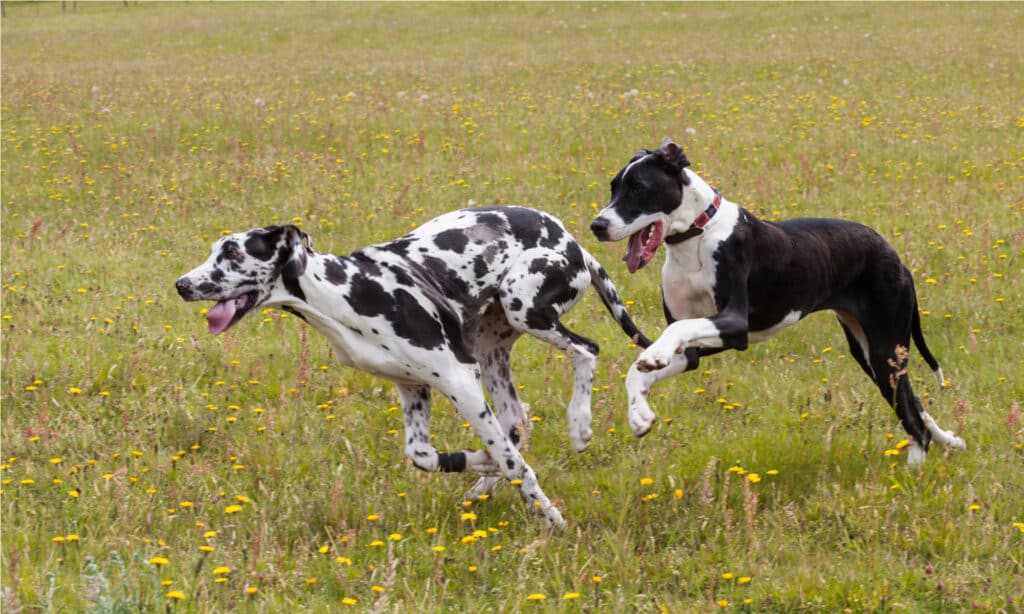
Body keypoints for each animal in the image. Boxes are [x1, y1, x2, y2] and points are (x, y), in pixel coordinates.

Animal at [176, 206, 647, 528]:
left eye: (233, 253)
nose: (181, 284)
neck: (344, 292)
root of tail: (574, 240)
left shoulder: (460, 380)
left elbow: (516, 466)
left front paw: (551, 517)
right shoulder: (413, 387)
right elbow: (425, 456)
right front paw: (483, 464)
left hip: (523, 308)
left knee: (585, 351)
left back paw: (579, 425)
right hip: (492, 349)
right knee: (516, 421)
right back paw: (483, 486)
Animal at [589, 140, 962, 464]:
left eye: (638, 187)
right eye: (613, 187)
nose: (597, 225)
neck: (697, 235)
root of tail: (895, 256)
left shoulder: (734, 324)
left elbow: (674, 333)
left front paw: (654, 355)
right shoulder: (695, 350)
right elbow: (637, 370)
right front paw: (640, 415)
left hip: (886, 350)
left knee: (913, 420)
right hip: (870, 353)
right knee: (913, 403)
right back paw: (946, 441)